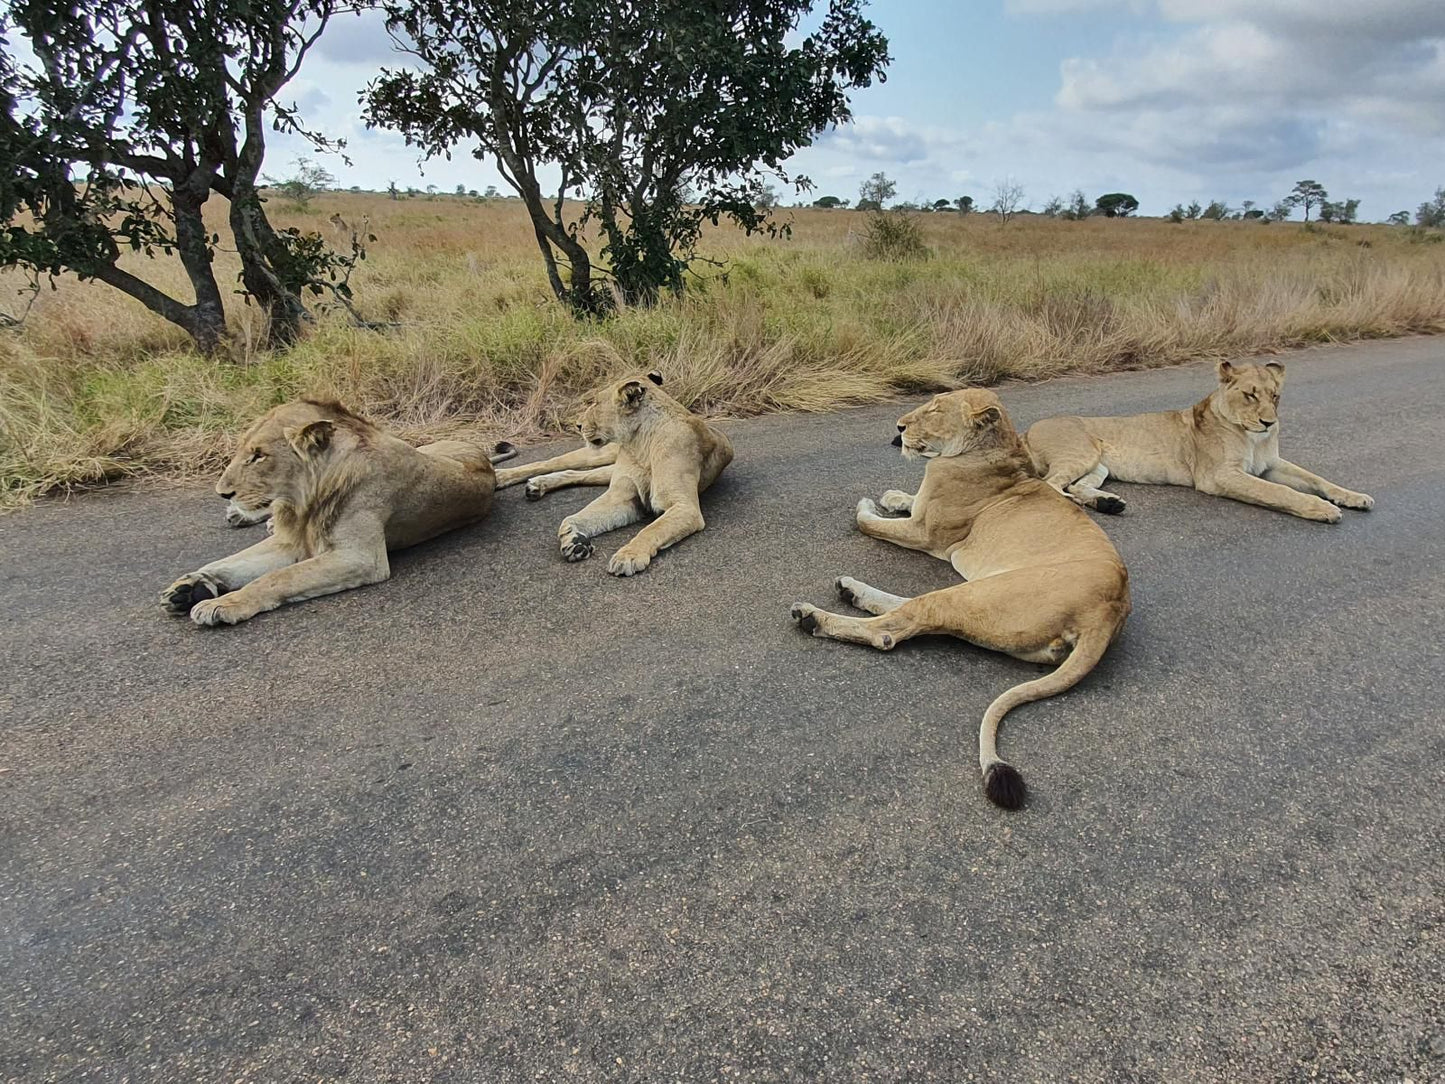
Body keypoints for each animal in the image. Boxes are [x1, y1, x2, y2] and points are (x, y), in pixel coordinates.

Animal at [159, 398, 514, 624]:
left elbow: (277, 577)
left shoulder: (360, 558)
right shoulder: (292, 541)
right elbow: (233, 562)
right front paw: (188, 587)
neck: (305, 500)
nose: (222, 493)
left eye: (259, 455)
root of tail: (482, 458)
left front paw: (223, 603)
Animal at [791, 387, 1127, 809]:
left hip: (978, 593)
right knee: (909, 612)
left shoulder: (924, 534)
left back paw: (814, 616)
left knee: (893, 629)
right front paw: (893, 495)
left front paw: (868, 505)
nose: (898, 428)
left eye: (935, 409)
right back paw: (850, 591)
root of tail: (1109, 610)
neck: (991, 453)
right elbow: (904, 500)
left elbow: (865, 521)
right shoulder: (922, 518)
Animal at [1023, 361, 1369, 523]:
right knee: (1052, 486)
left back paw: (1108, 504)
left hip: (1099, 467)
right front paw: (1322, 509)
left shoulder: (1270, 464)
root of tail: (1027, 430)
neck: (1253, 437)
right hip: (1082, 452)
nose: (1269, 423)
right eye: (1250, 394)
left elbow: (1317, 479)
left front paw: (1355, 497)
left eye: (1275, 396)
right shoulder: (1219, 475)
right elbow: (1278, 492)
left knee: (1075, 486)